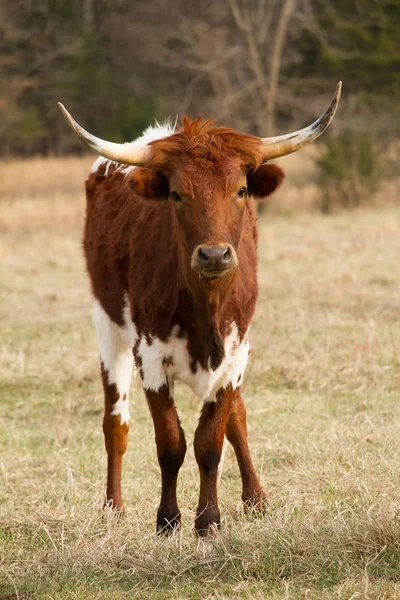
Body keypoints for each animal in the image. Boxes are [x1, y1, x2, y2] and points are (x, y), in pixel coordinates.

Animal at [58, 83, 340, 536]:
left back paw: (256, 499)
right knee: (116, 422)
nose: (213, 255)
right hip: (108, 325)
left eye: (240, 190)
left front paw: (209, 520)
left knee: (237, 420)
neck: (204, 305)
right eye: (176, 193)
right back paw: (113, 507)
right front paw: (168, 519)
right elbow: (170, 441)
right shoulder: (150, 354)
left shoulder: (237, 351)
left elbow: (213, 438)